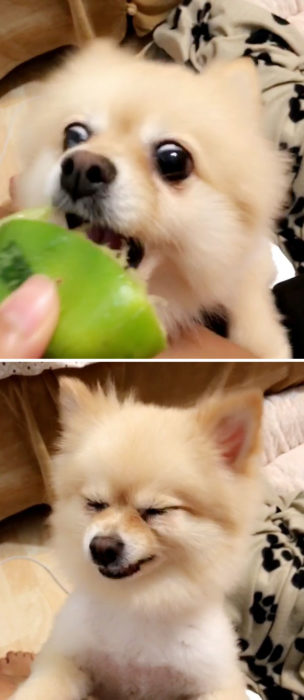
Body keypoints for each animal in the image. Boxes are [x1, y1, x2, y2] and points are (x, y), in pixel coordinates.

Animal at [11, 380, 262, 696]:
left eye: (155, 511)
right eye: (95, 504)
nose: (102, 547)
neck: (138, 600)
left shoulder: (216, 681)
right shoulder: (64, 658)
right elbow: (42, 687)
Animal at [14, 40, 290, 358]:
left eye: (173, 159)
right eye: (73, 136)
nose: (81, 169)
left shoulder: (250, 256)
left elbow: (249, 298)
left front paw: (267, 347)